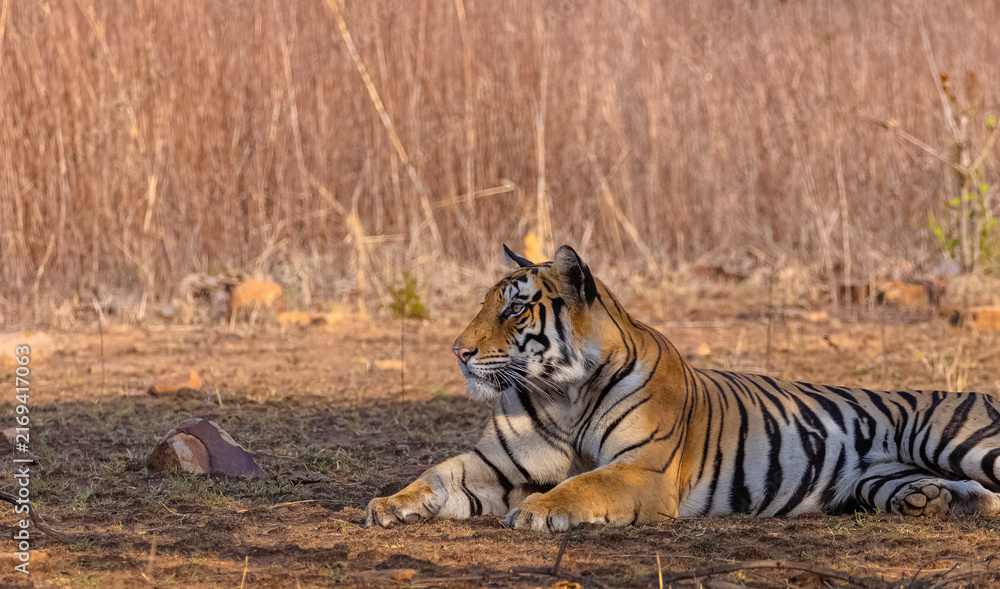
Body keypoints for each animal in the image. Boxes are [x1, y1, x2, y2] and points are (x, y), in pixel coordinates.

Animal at [366, 244, 1000, 532]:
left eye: (516, 309)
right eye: (485, 304)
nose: (458, 352)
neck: (563, 393)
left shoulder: (642, 470)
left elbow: (582, 485)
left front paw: (538, 511)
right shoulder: (494, 463)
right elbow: (437, 474)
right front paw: (388, 505)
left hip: (961, 441)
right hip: (882, 480)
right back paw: (939, 502)